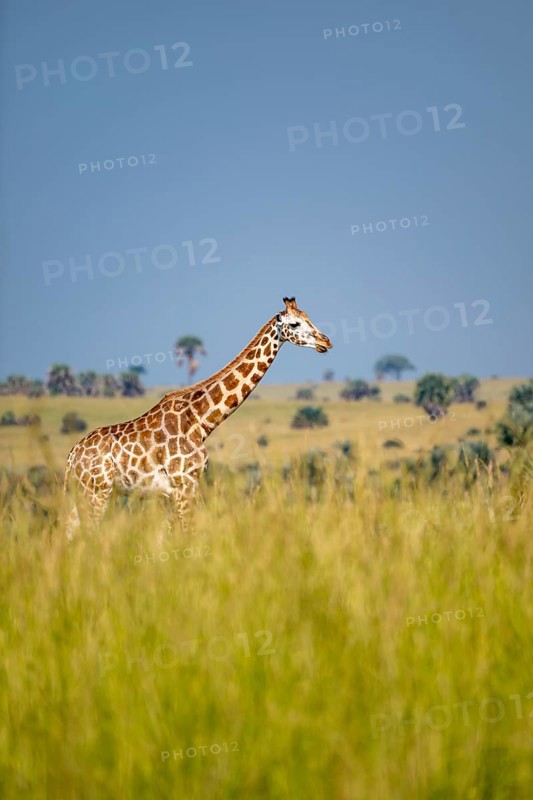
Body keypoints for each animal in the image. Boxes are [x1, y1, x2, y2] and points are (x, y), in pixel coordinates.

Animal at [63, 297, 332, 537]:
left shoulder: (174, 492)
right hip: (97, 491)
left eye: (309, 317)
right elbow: (188, 534)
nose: (326, 341)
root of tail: (72, 456)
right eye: (295, 324)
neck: (200, 422)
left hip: (81, 494)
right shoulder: (185, 484)